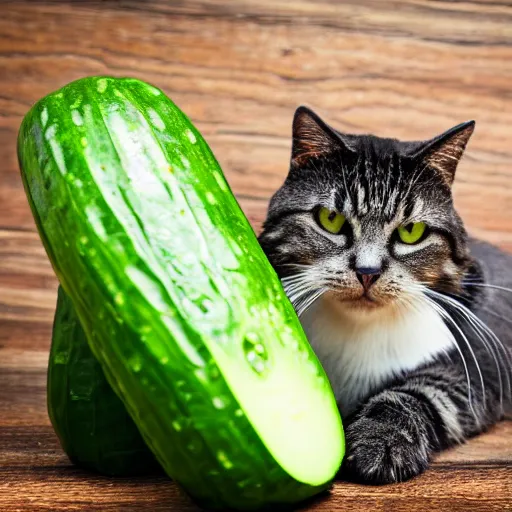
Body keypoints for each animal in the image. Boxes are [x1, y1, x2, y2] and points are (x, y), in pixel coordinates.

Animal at [260, 107, 512, 484]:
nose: (367, 271)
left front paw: (380, 440)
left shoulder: (473, 363)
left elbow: (416, 392)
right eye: (330, 219)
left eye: (412, 231)